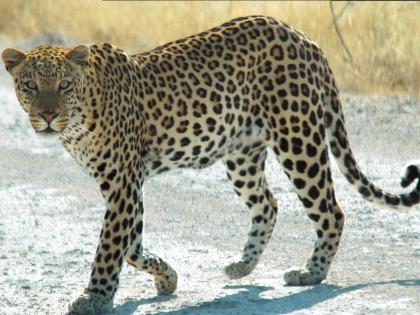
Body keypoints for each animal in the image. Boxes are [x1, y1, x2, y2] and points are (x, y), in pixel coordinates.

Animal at [1, 16, 418, 315]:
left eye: (63, 86)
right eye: (30, 86)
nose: (48, 116)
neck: (79, 118)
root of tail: (304, 37)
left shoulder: (122, 183)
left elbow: (110, 247)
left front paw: (95, 298)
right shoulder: (124, 185)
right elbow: (131, 244)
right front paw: (167, 277)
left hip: (298, 139)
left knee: (331, 209)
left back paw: (310, 273)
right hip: (241, 154)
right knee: (268, 204)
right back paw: (242, 266)